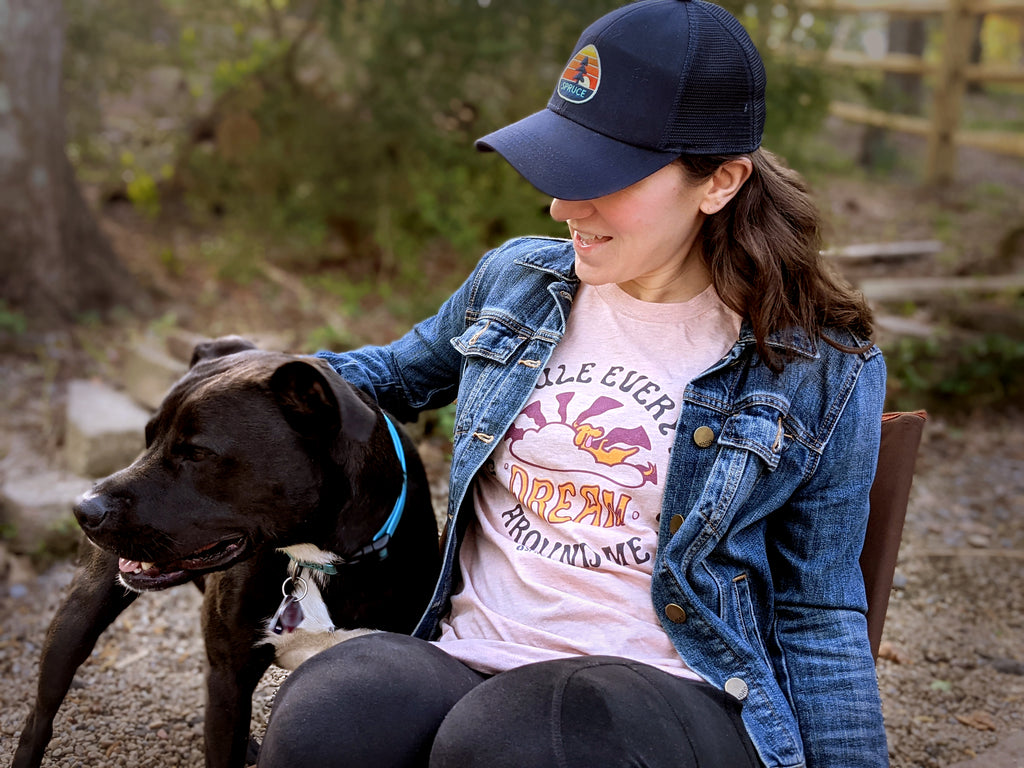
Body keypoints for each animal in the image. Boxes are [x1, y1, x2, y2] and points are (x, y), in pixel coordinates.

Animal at [9, 339, 440, 768]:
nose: (84, 509)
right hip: (78, 617)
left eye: (197, 453)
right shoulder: (228, 679)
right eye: (149, 437)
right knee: (40, 715)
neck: (318, 557)